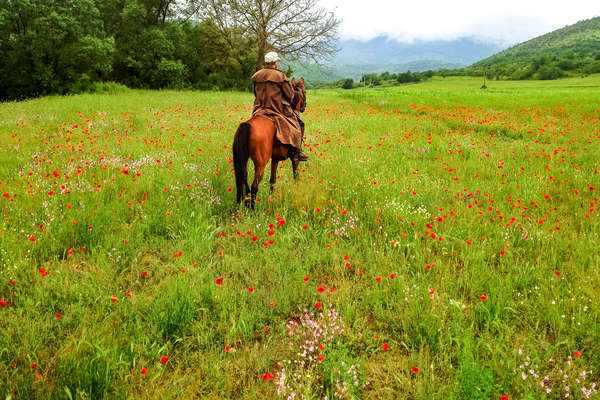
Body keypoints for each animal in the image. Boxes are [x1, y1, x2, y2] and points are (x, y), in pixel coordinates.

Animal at [232, 77, 308, 209]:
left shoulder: (275, 159)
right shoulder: (295, 159)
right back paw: (253, 209)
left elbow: (272, 180)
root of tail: (246, 125)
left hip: (243, 161)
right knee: (254, 187)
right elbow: (295, 175)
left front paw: (271, 198)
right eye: (304, 91)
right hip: (260, 165)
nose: (304, 106)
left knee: (244, 180)